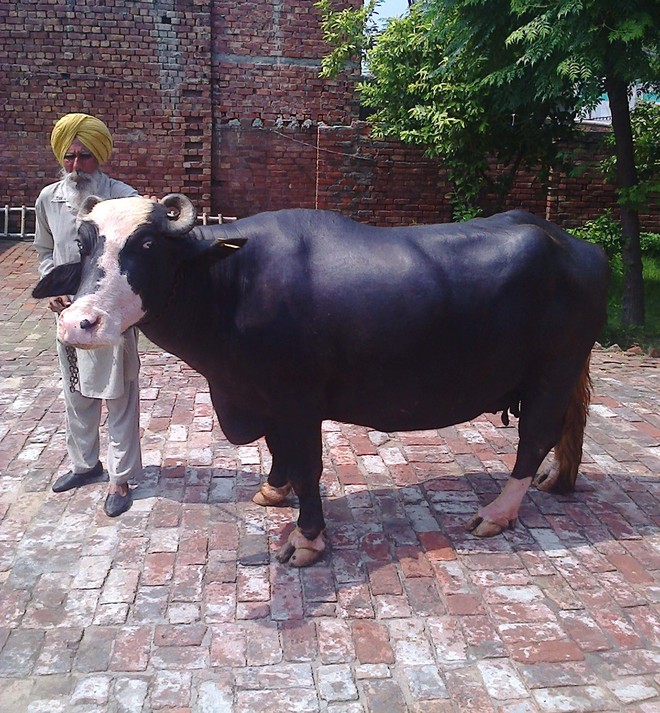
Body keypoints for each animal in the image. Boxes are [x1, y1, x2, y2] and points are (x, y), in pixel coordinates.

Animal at [32, 194, 609, 566]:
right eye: (83, 244)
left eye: (149, 244)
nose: (79, 322)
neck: (231, 284)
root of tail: (575, 246)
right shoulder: (259, 395)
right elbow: (277, 451)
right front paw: (272, 490)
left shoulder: (297, 401)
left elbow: (309, 466)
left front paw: (307, 540)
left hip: (552, 370)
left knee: (535, 436)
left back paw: (497, 512)